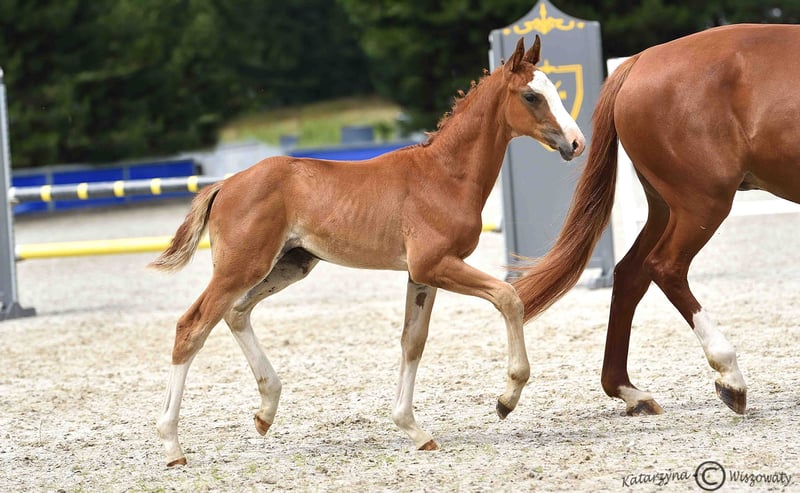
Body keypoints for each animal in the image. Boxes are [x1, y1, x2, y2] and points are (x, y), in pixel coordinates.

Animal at [150, 36, 585, 467]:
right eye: (531, 96)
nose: (577, 143)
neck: (445, 175)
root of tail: (226, 183)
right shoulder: (435, 264)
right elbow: (508, 298)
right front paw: (506, 399)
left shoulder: (421, 275)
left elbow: (413, 341)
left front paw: (413, 429)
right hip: (242, 266)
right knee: (192, 326)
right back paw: (172, 445)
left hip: (290, 265)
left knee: (236, 312)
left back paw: (265, 412)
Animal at [514, 23, 800, 417]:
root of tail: (638, 62)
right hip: (702, 204)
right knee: (665, 267)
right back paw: (730, 378)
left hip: (667, 208)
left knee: (630, 273)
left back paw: (628, 390)